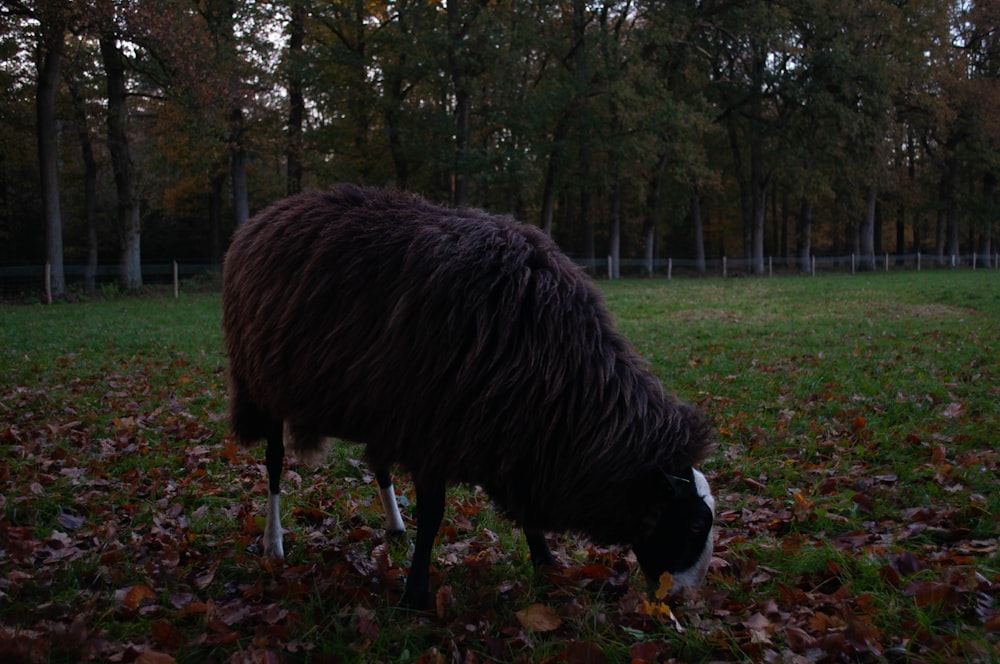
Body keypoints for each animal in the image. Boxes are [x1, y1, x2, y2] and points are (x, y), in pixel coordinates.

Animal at [223, 183, 716, 608]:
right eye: (694, 523)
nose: (682, 599)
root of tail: (270, 213)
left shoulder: (498, 427)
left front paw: (546, 563)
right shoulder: (435, 426)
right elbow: (434, 514)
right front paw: (416, 595)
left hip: (374, 394)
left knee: (377, 462)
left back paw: (394, 526)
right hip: (262, 384)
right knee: (273, 464)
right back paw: (273, 542)